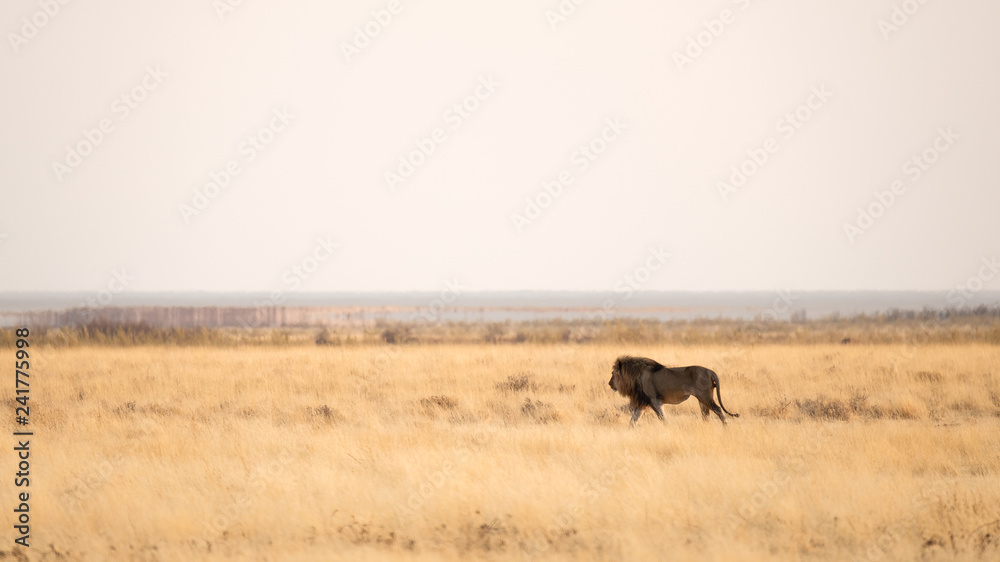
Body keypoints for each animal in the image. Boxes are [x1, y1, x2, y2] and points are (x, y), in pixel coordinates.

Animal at [604, 354, 740, 424]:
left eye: (612, 373)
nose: (609, 384)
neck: (634, 376)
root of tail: (710, 371)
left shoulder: (654, 400)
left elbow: (662, 418)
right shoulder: (643, 402)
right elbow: (633, 420)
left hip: (705, 396)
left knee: (718, 410)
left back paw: (726, 427)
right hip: (702, 400)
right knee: (706, 414)